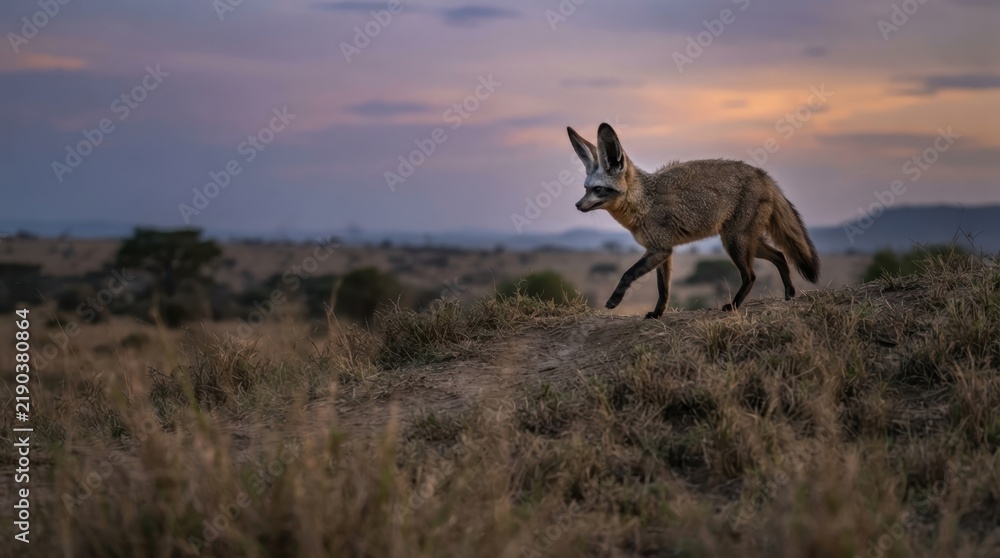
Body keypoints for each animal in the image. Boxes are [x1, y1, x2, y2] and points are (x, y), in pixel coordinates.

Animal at [567, 122, 820, 316]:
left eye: (598, 190)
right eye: (586, 189)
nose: (577, 205)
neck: (644, 202)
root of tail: (763, 176)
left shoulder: (659, 249)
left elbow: (627, 274)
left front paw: (613, 301)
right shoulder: (663, 251)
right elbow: (664, 289)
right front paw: (657, 313)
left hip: (734, 243)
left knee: (751, 275)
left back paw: (734, 305)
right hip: (747, 242)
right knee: (780, 256)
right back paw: (789, 293)